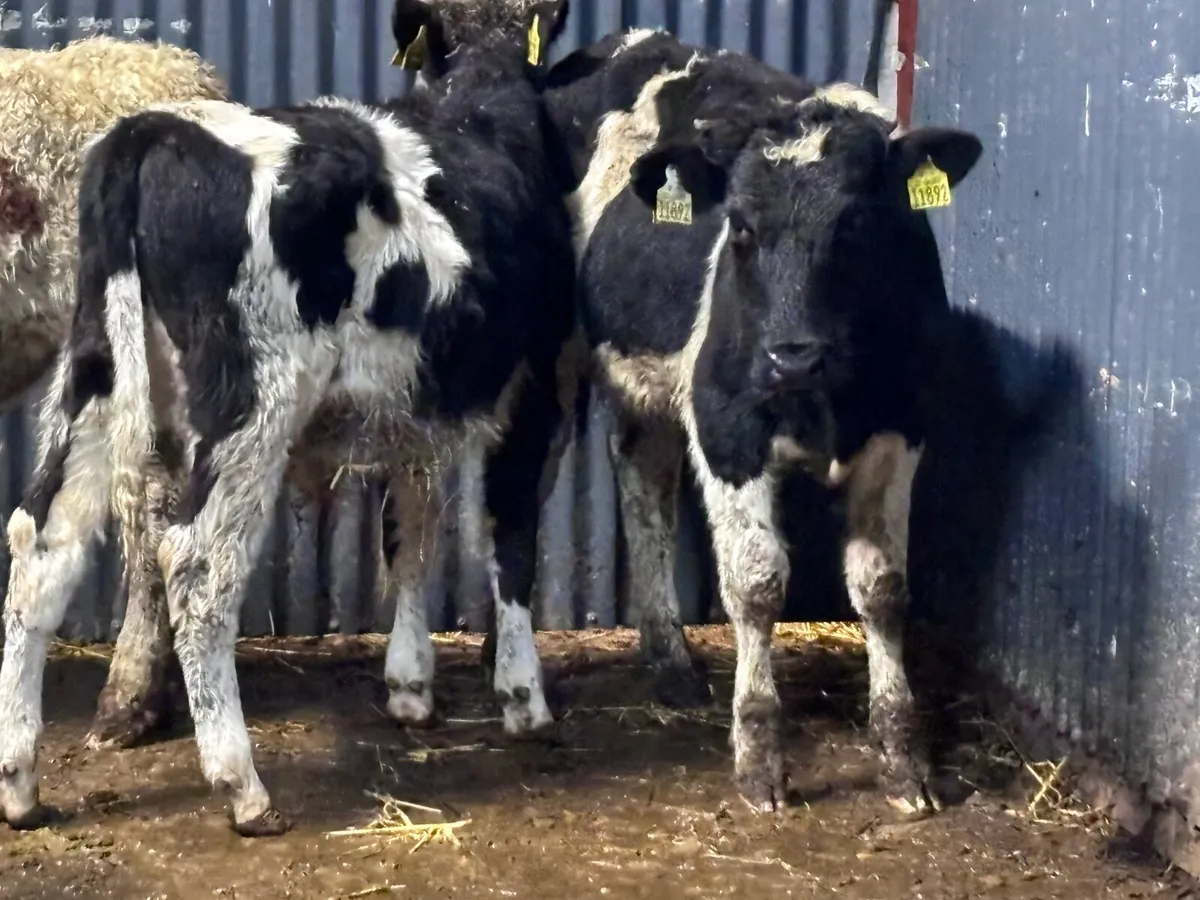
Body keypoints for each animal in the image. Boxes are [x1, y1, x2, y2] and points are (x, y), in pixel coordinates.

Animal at [538, 25, 982, 814]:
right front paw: (758, 755)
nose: (791, 356)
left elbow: (883, 589)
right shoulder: (725, 429)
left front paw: (903, 757)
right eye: (740, 228)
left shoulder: (900, 431)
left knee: (641, 479)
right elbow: (755, 583)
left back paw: (668, 656)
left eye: (857, 223)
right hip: (560, 359)